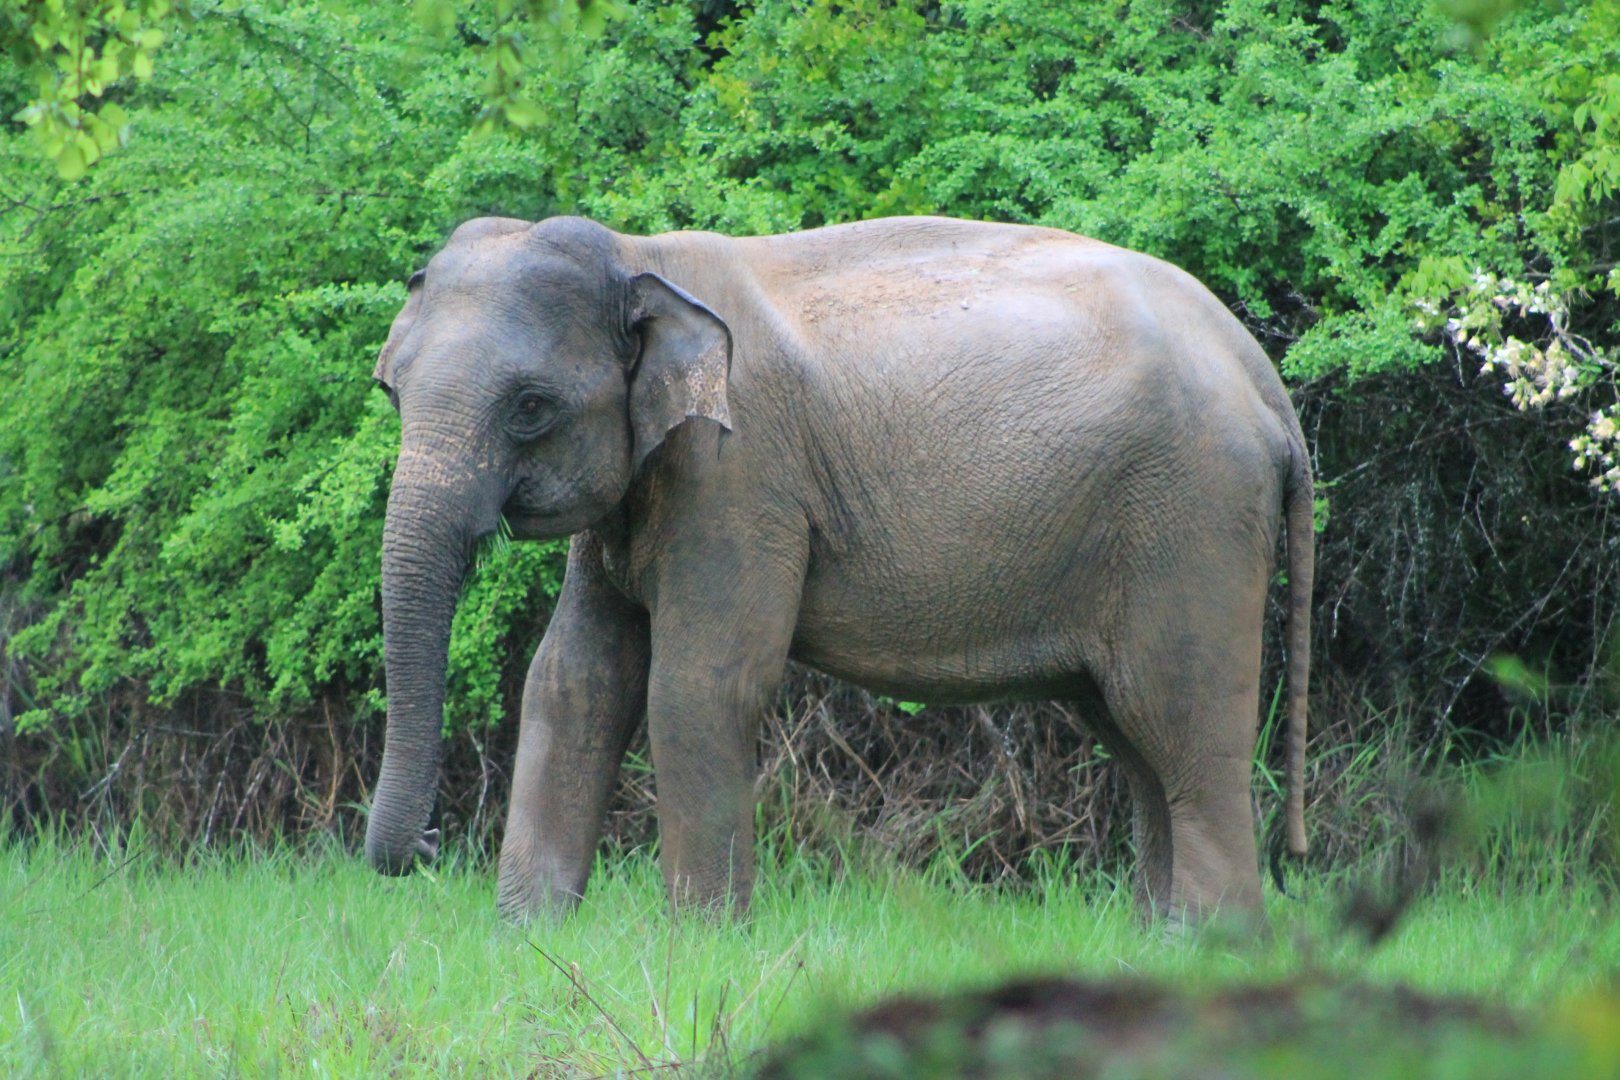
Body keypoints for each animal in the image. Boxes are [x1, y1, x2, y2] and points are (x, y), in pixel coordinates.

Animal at [364, 213, 1314, 928]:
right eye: (391, 393)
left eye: (530, 407)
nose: (426, 850)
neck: (642, 256)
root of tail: (1268, 385)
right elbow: (574, 680)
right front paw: (527, 939)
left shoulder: (740, 476)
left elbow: (698, 686)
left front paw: (699, 945)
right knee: (1137, 737)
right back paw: (1162, 946)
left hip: (1192, 518)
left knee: (1185, 723)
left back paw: (1218, 950)